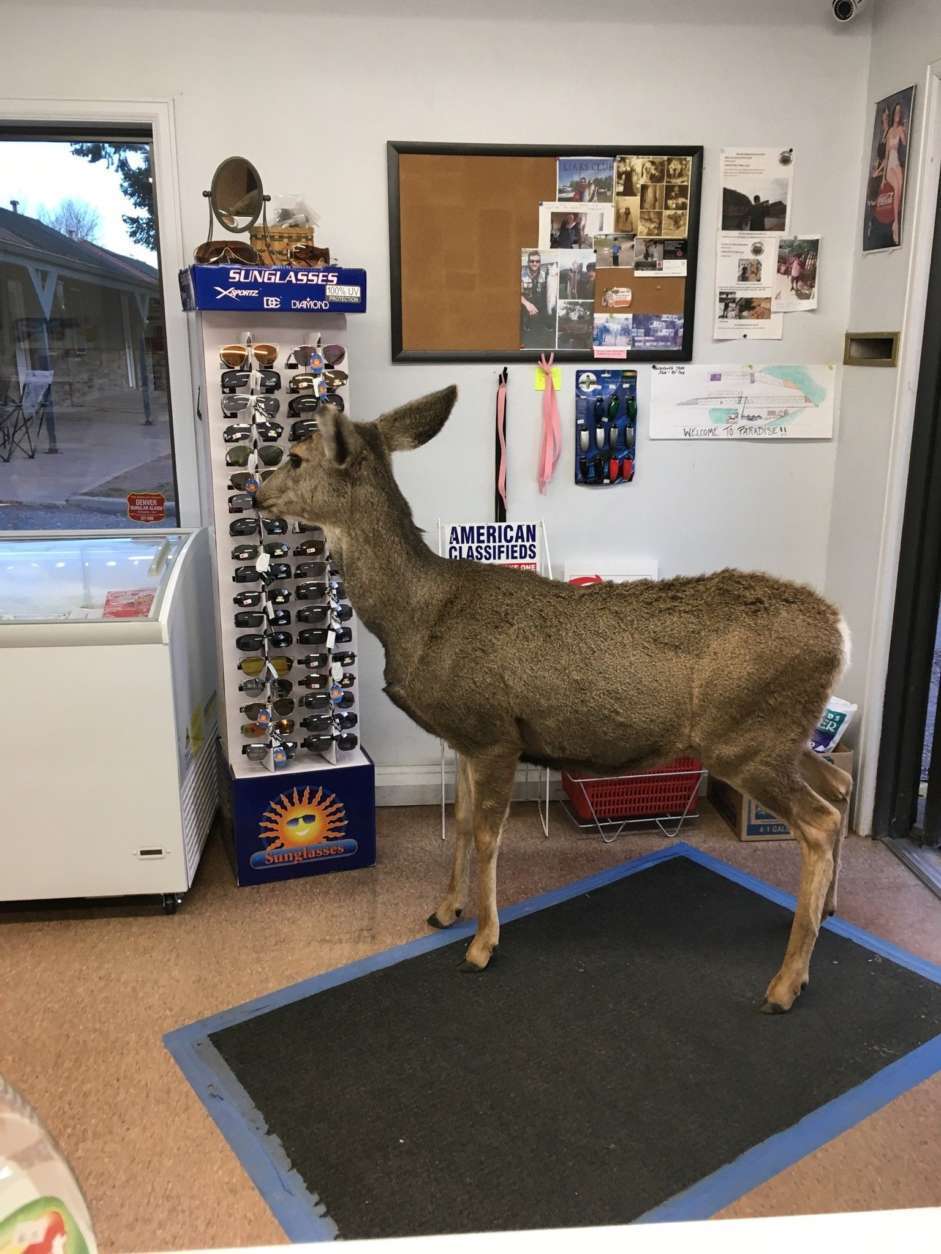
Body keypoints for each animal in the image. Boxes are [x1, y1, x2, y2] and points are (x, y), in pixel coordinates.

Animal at [255, 386, 853, 1013]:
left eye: (295, 455)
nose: (255, 492)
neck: (418, 617)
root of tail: (840, 632)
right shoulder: (465, 737)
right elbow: (462, 823)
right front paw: (446, 909)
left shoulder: (495, 733)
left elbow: (489, 836)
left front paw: (482, 944)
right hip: (780, 734)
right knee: (840, 786)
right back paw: (828, 912)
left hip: (745, 740)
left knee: (819, 821)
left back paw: (786, 982)